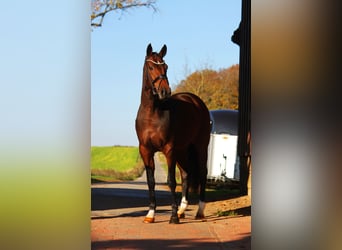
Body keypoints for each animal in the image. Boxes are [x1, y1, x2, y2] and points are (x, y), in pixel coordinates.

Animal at [134, 44, 210, 224]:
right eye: (151, 67)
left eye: (166, 67)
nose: (165, 91)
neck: (152, 114)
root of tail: (196, 101)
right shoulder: (145, 150)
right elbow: (151, 182)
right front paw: (150, 214)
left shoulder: (169, 150)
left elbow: (171, 181)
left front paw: (173, 216)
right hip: (182, 150)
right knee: (186, 174)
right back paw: (183, 210)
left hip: (200, 146)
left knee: (202, 173)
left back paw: (199, 211)